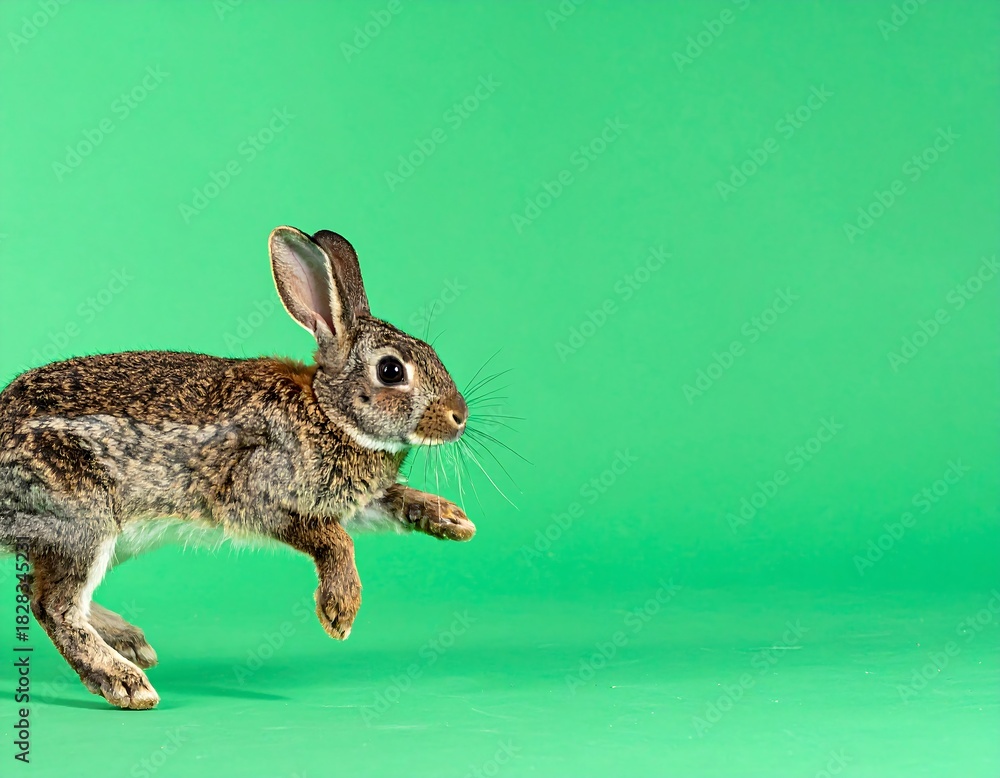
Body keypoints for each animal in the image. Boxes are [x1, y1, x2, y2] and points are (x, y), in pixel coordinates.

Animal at [0, 226, 476, 710]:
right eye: (391, 370)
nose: (459, 416)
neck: (328, 411)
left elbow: (390, 504)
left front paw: (453, 521)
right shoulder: (258, 497)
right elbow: (334, 539)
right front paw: (339, 611)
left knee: (33, 586)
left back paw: (128, 640)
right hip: (84, 518)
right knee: (52, 604)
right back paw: (124, 682)